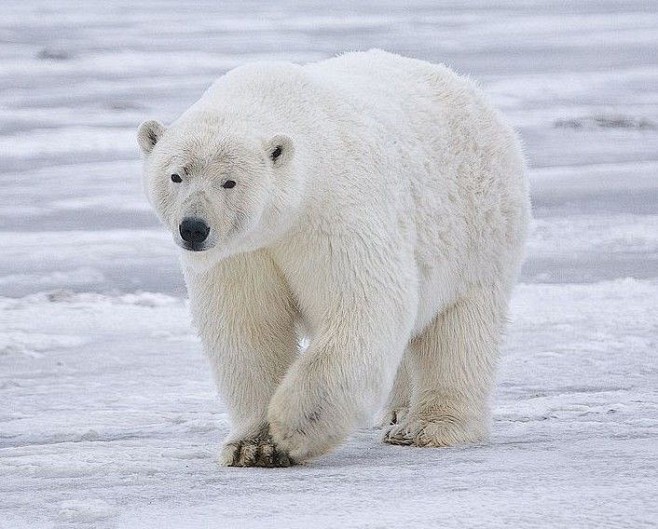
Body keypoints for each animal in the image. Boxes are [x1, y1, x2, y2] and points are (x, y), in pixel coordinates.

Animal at [137, 50, 528, 466]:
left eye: (229, 181)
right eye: (176, 175)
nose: (194, 228)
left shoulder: (333, 213)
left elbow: (363, 305)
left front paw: (293, 426)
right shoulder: (242, 254)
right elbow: (249, 327)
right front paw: (253, 446)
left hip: (478, 230)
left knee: (459, 330)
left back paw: (427, 426)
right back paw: (397, 411)